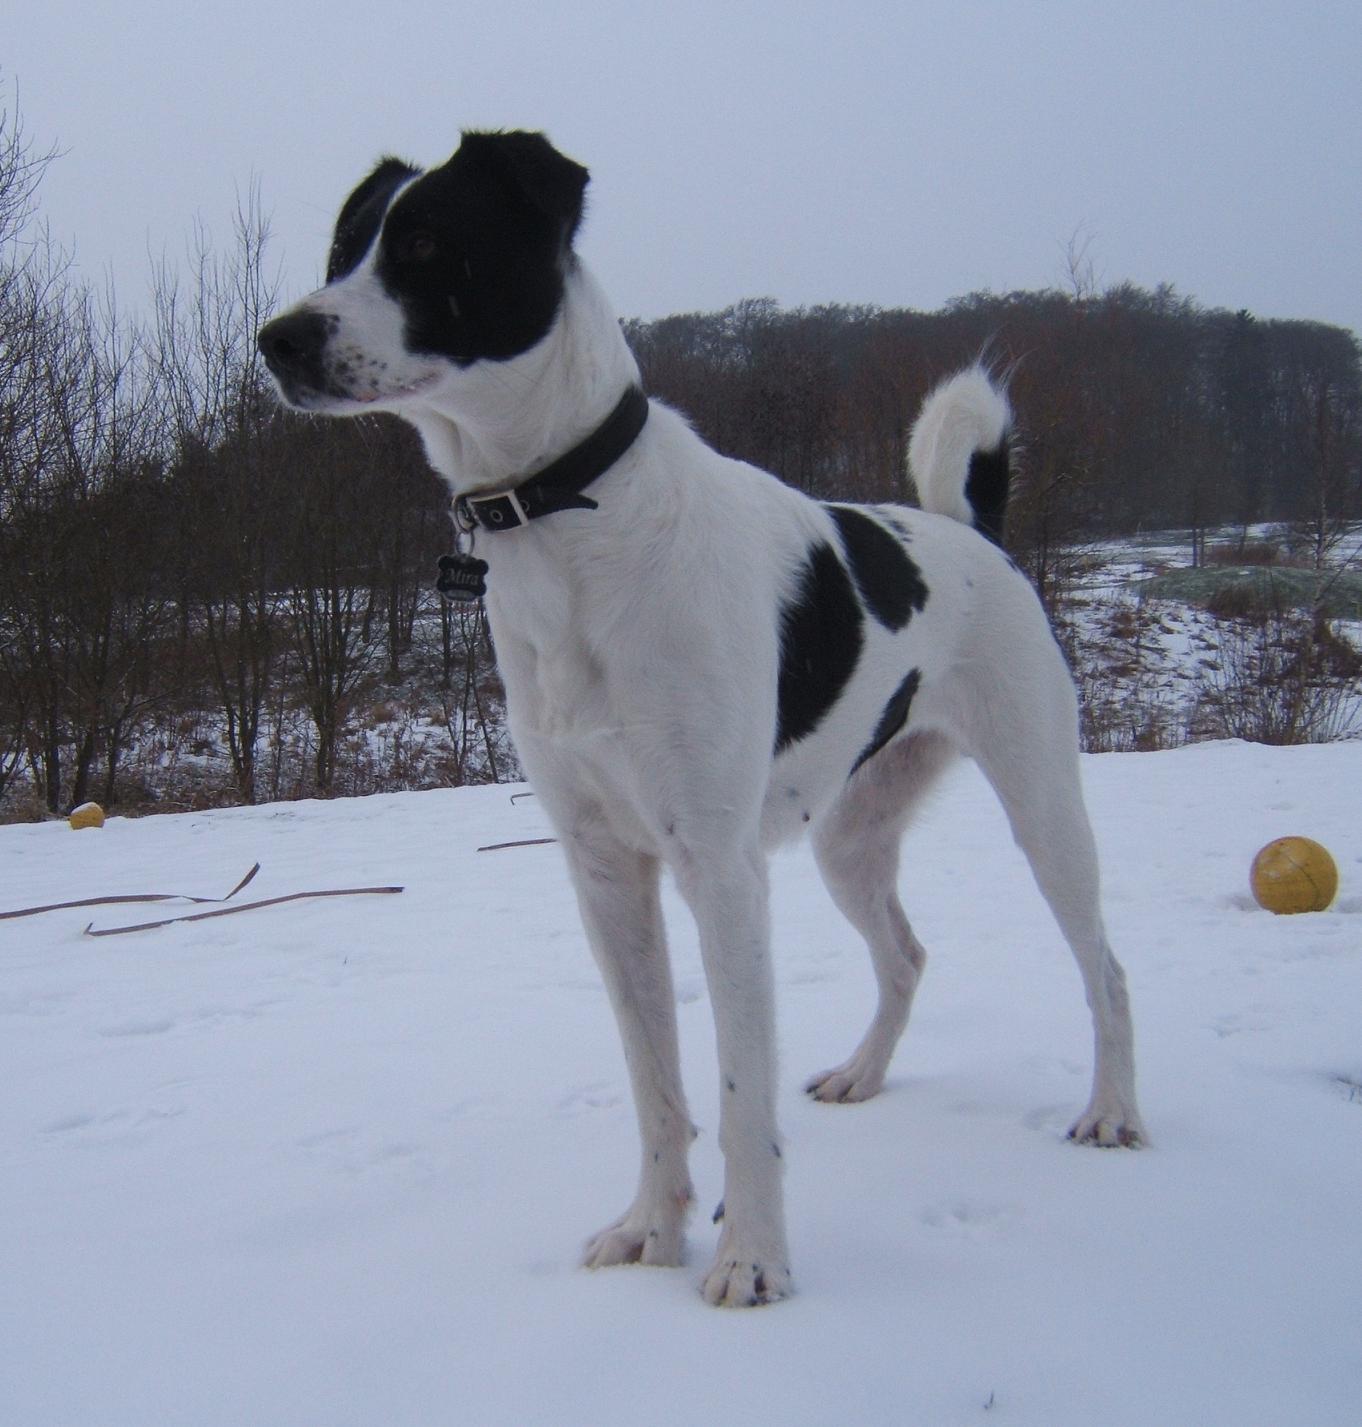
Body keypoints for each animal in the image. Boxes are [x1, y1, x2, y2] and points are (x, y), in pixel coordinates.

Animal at [259, 131, 1142, 1307]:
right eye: (343, 246)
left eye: (427, 243)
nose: (277, 339)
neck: (567, 523)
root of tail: (975, 535)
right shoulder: (604, 867)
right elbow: (658, 1083)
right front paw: (651, 1225)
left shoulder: (719, 868)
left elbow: (736, 1092)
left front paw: (751, 1258)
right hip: (850, 840)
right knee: (907, 955)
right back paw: (865, 1071)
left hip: (1041, 806)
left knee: (1106, 969)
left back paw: (1113, 1110)